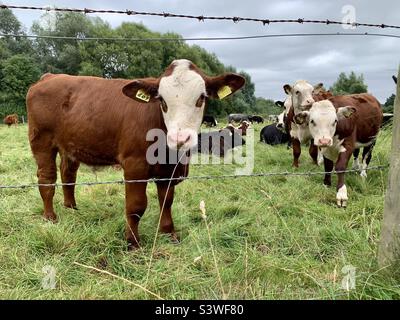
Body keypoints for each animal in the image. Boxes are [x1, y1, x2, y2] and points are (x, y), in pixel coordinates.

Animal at [26, 58, 245, 248]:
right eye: (162, 100)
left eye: (201, 98)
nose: (180, 138)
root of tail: (50, 77)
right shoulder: (134, 165)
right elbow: (136, 206)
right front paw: (132, 241)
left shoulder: (169, 170)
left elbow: (166, 201)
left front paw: (169, 233)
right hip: (42, 141)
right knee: (46, 178)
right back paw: (50, 217)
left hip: (70, 144)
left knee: (68, 174)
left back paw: (71, 207)